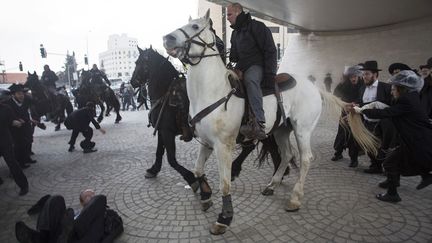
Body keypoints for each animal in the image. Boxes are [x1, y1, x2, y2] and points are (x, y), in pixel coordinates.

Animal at [164, 9, 376, 235]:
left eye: (195, 27)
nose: (167, 38)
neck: (213, 91)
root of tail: (314, 87)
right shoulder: (206, 143)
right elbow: (198, 170)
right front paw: (205, 196)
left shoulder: (223, 146)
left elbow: (225, 183)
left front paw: (225, 218)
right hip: (281, 130)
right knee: (287, 155)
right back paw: (272, 185)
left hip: (302, 130)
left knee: (306, 159)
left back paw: (294, 199)